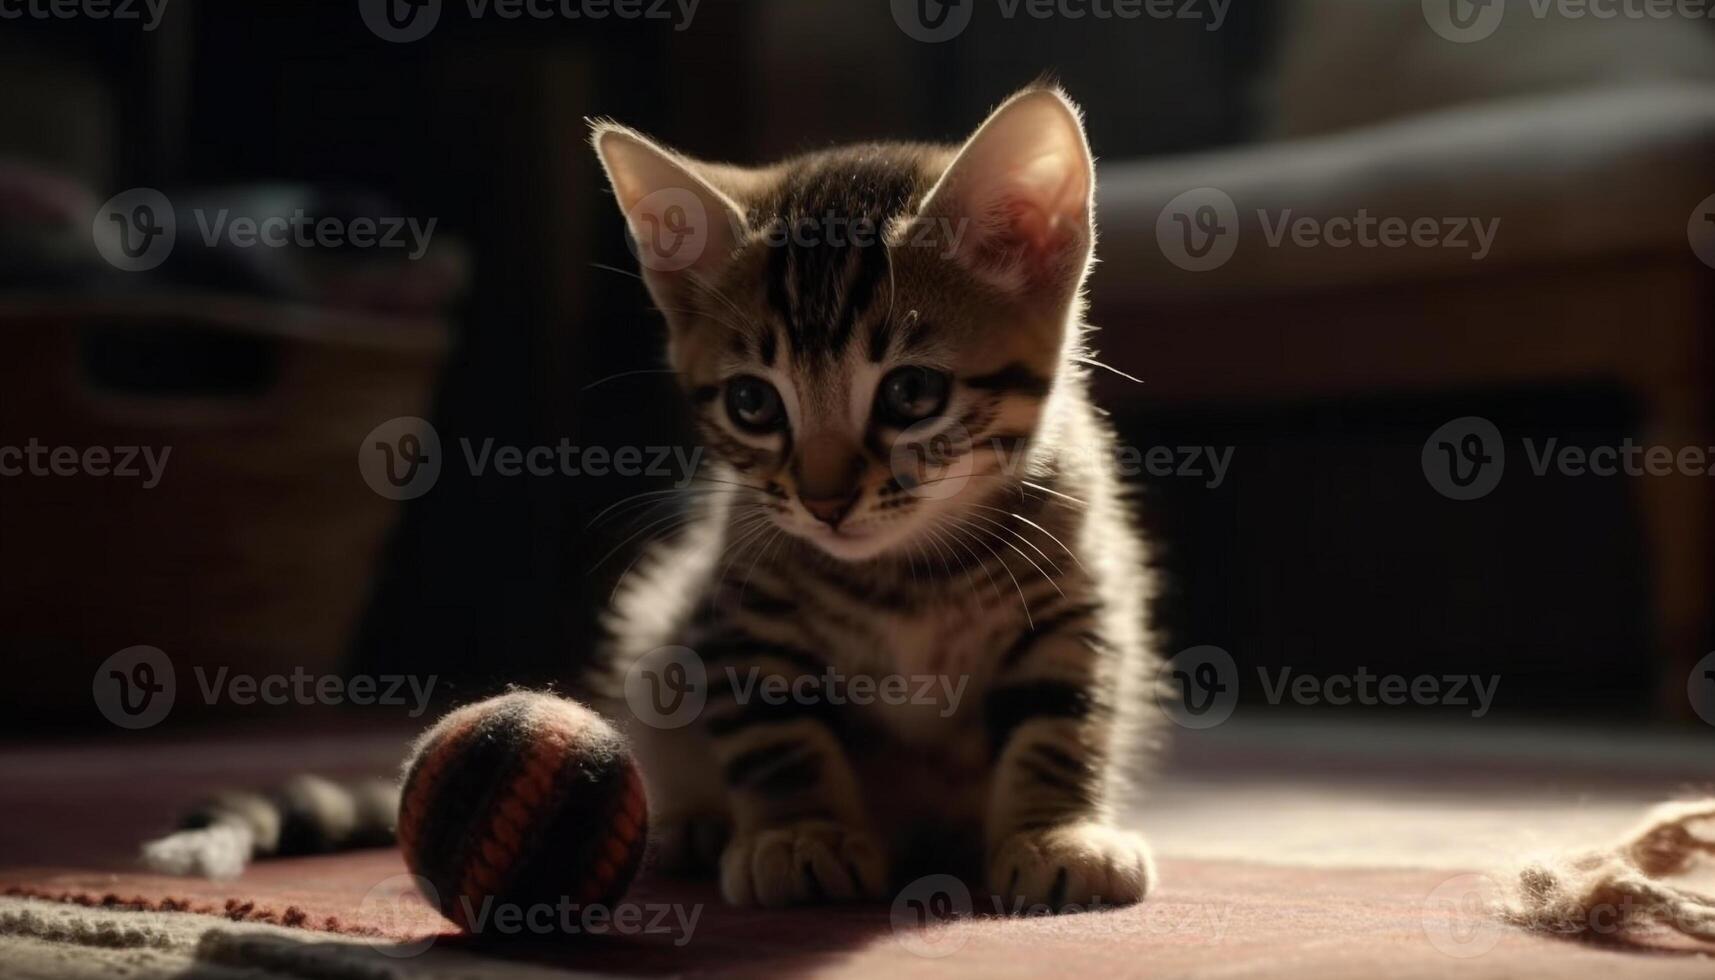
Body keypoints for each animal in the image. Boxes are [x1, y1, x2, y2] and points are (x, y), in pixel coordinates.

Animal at [593, 84, 1166, 913]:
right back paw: (690, 824)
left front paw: (1057, 834)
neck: (911, 574)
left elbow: (1065, 720)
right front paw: (802, 834)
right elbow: (774, 734)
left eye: (910, 393)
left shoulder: (1078, 596)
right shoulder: (740, 606)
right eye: (751, 404)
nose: (824, 501)